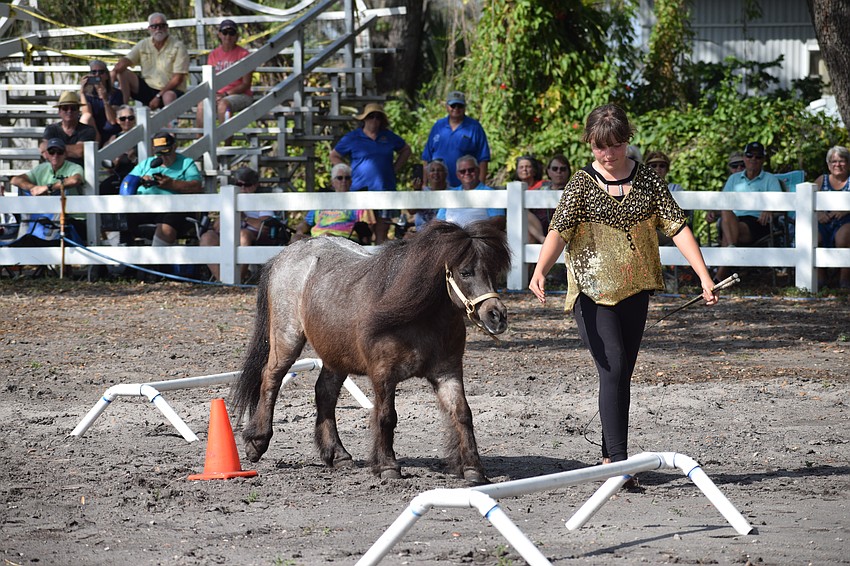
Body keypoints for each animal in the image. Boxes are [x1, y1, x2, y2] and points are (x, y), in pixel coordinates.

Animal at [231, 219, 511, 483]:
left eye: (492, 272)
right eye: (465, 272)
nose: (497, 316)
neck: (418, 317)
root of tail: (285, 255)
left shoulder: (448, 372)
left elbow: (463, 413)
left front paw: (473, 469)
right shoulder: (383, 374)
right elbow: (387, 417)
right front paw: (388, 467)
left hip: (336, 356)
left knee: (325, 393)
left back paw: (338, 455)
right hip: (287, 338)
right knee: (271, 379)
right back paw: (257, 442)